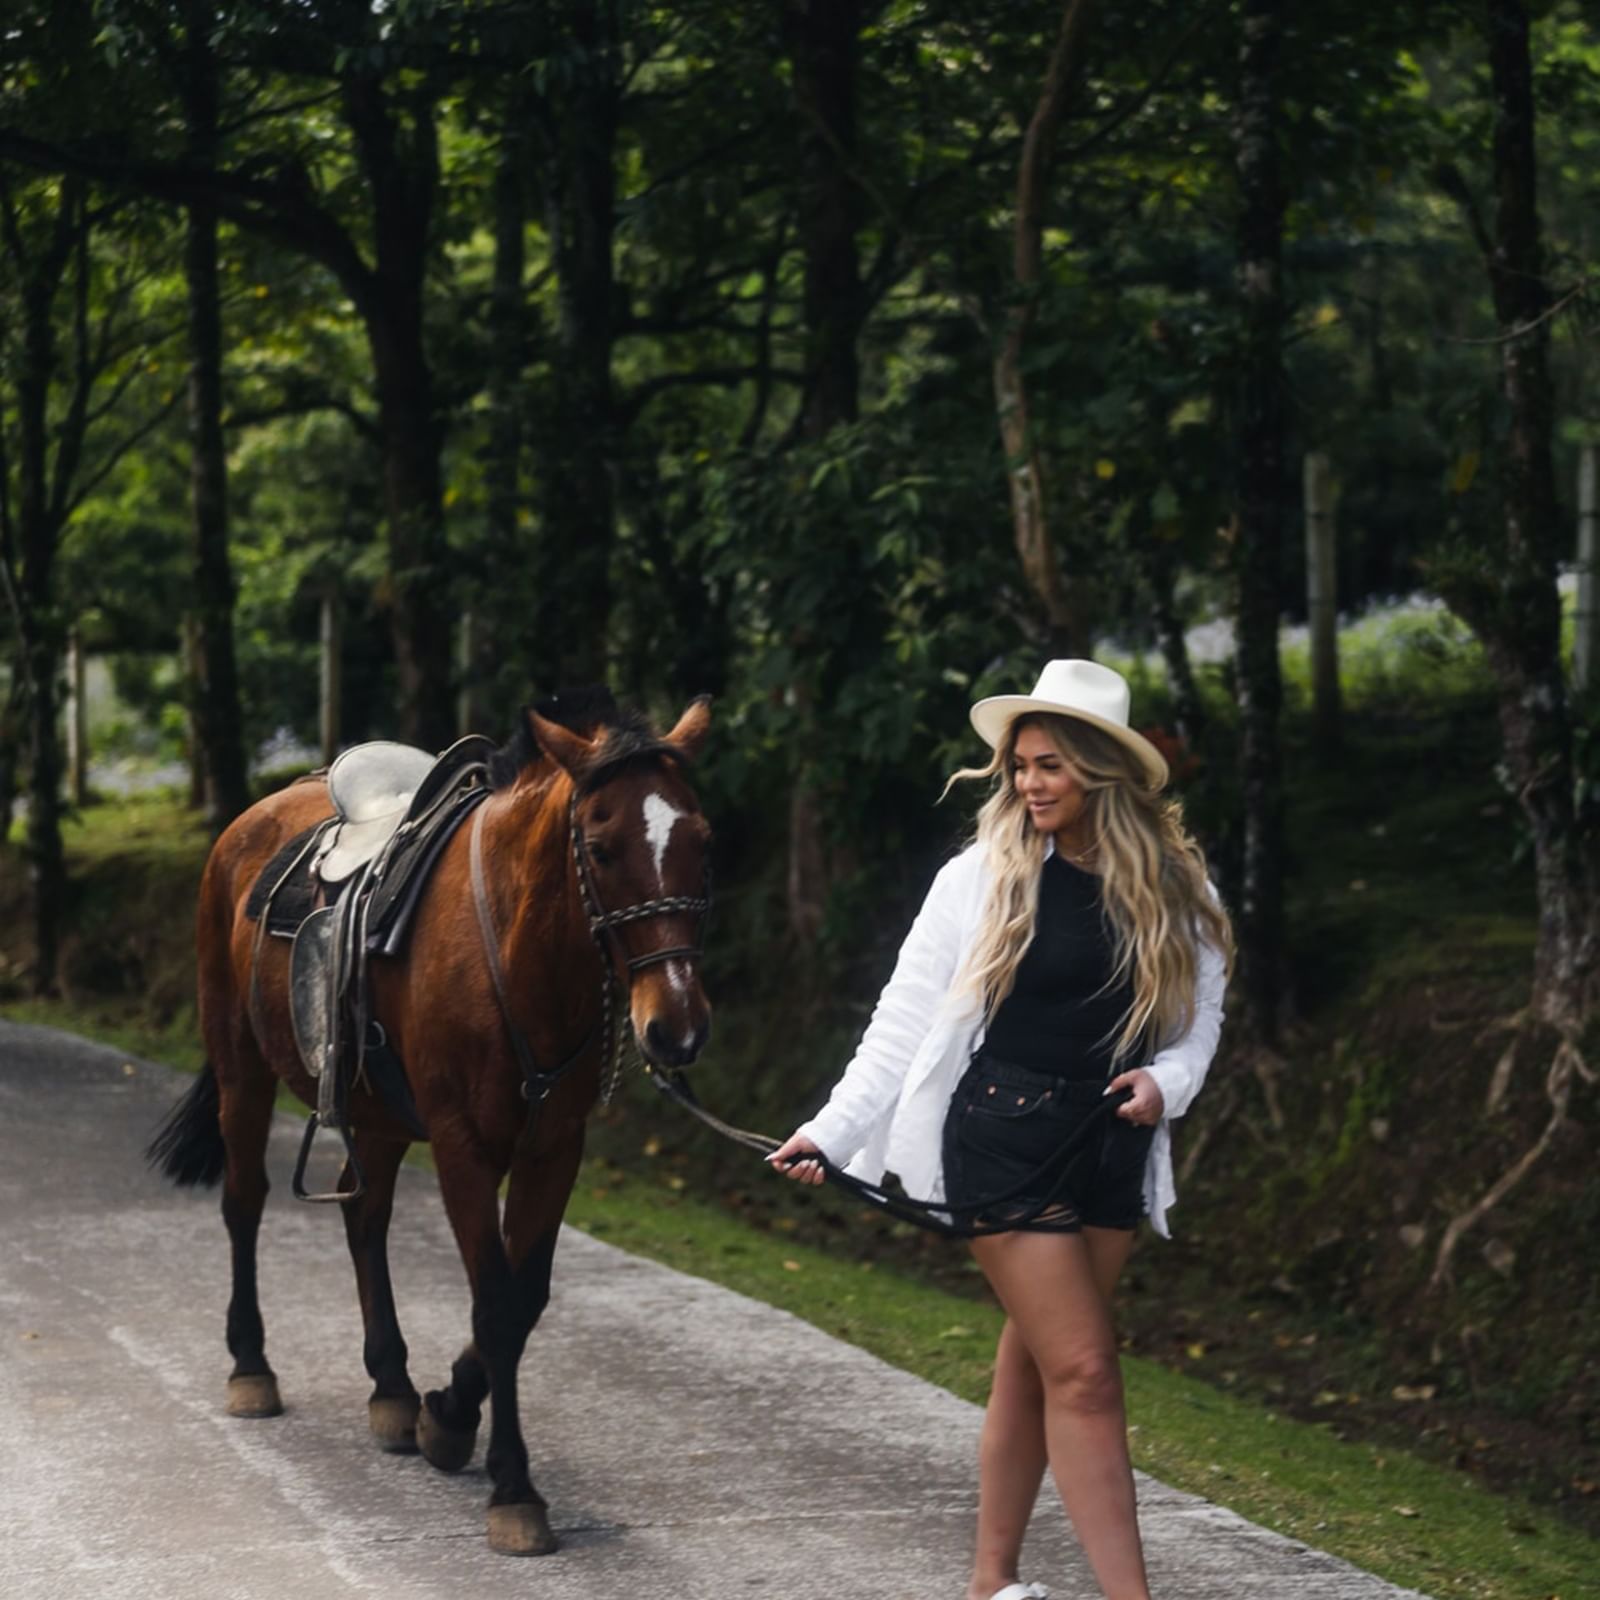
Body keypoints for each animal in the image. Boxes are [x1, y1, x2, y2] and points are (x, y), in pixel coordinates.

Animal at [148, 694, 713, 1555]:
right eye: (602, 848)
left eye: (701, 841)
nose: (676, 1027)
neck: (514, 948)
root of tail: (254, 816)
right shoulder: (462, 1147)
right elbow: (496, 1301)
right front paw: (512, 1487)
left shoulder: (555, 1148)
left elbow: (525, 1295)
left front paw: (446, 1416)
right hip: (242, 1066)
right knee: (243, 1201)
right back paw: (251, 1366)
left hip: (376, 1111)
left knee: (364, 1216)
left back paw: (391, 1386)